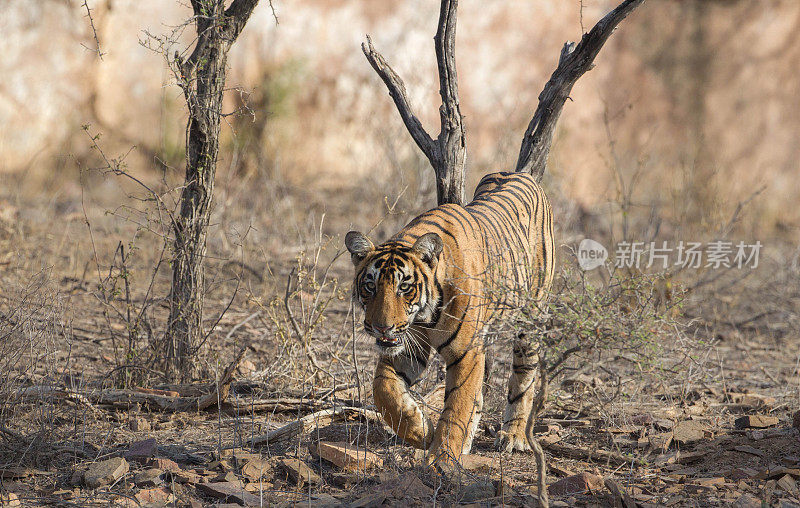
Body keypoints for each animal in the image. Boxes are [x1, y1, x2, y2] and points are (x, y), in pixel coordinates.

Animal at [344, 172, 556, 468]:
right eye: (370, 286)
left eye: (404, 287)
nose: (381, 327)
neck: (425, 315)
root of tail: (522, 173)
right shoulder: (408, 348)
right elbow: (383, 390)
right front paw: (420, 430)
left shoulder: (465, 353)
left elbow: (456, 406)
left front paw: (440, 459)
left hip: (530, 318)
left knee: (523, 376)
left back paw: (513, 436)